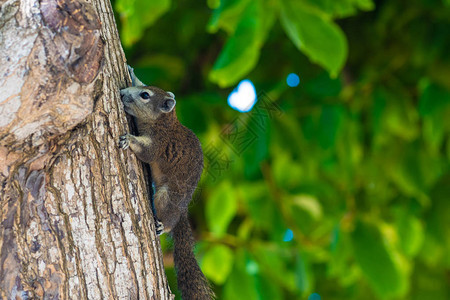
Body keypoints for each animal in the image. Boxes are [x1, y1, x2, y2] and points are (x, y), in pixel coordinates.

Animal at [118, 66, 213, 300]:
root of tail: (182, 209)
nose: (122, 93)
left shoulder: (159, 143)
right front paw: (132, 73)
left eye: (145, 95)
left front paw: (129, 140)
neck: (164, 121)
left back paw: (163, 225)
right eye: (145, 88)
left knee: (169, 217)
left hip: (166, 197)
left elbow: (146, 152)